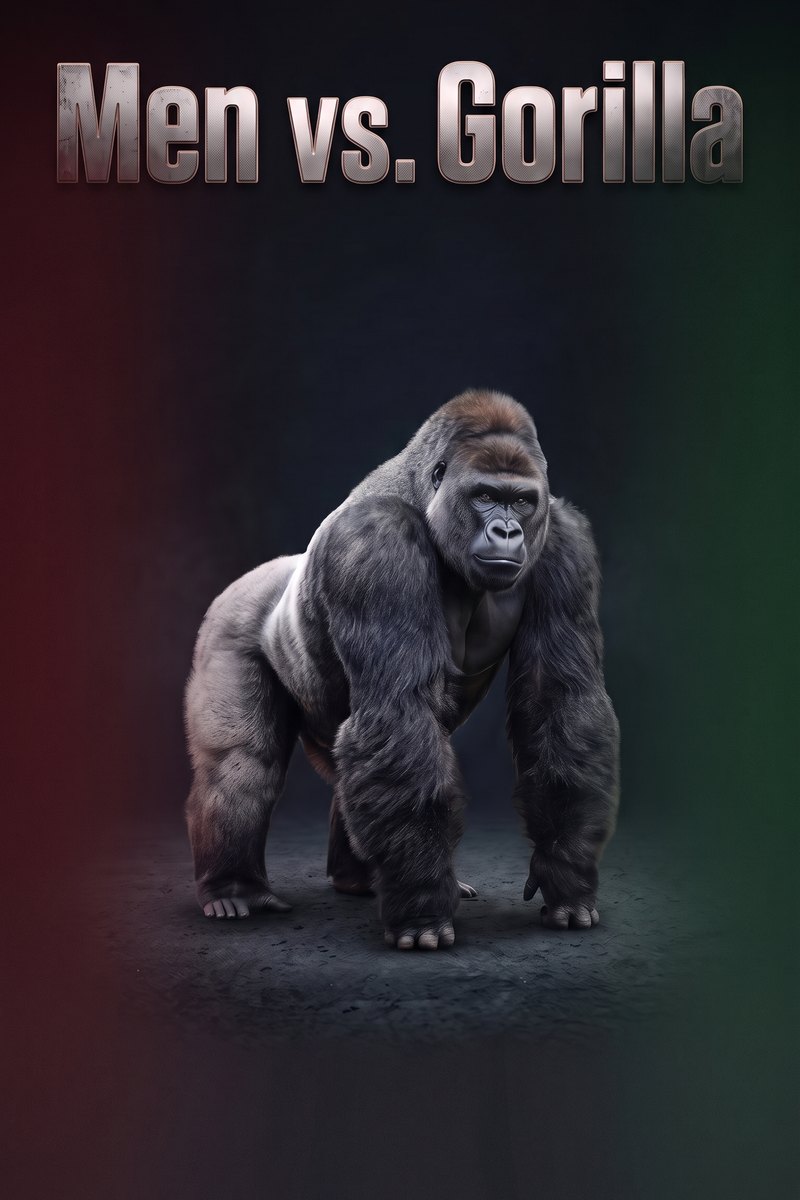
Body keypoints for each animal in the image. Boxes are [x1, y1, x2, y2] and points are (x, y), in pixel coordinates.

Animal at [184, 390, 619, 950]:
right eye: (484, 496)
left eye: (522, 501)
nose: (506, 530)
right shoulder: (376, 543)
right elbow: (397, 710)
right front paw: (422, 909)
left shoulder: (566, 543)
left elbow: (561, 702)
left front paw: (565, 874)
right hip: (227, 619)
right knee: (243, 764)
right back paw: (234, 888)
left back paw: (358, 878)